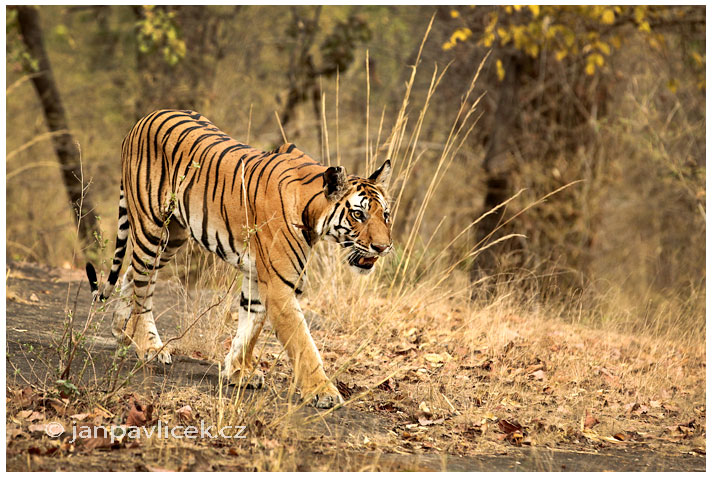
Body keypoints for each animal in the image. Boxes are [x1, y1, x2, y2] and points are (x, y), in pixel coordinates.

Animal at [87, 109, 394, 408]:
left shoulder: (258, 275)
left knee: (132, 273)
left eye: (386, 215)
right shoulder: (280, 286)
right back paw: (149, 347)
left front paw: (238, 371)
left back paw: (121, 331)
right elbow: (303, 344)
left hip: (173, 236)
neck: (312, 213)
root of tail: (142, 120)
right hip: (151, 226)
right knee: (142, 287)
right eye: (358, 214)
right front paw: (323, 392)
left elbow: (251, 323)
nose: (383, 247)